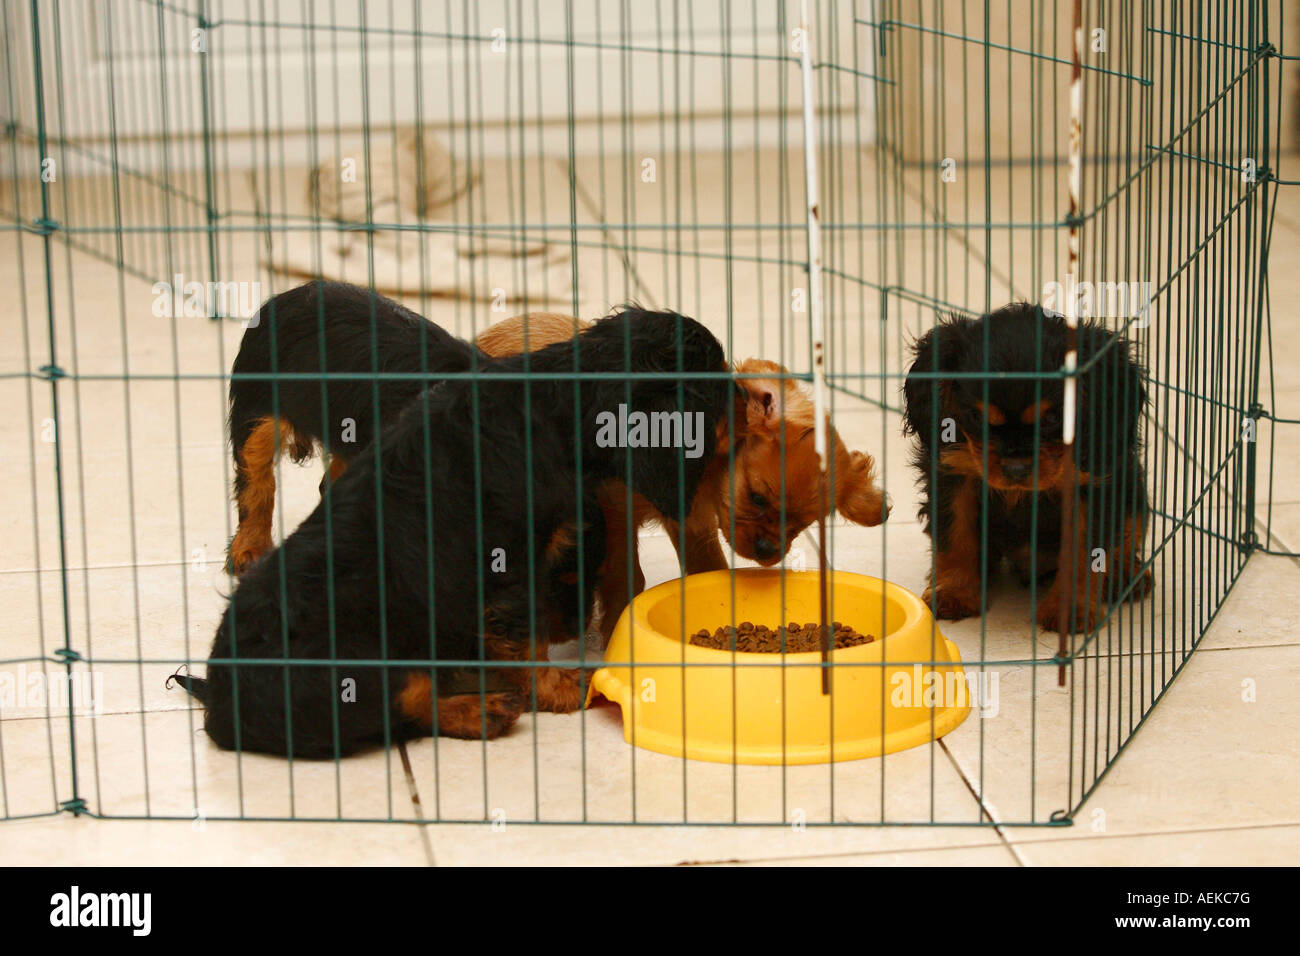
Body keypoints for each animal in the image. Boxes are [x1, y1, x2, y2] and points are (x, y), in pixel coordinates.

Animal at [176, 310, 738, 759]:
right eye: (717, 386)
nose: (750, 397)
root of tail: (219, 705)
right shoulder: (511, 563)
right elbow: (524, 636)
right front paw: (558, 688)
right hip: (364, 659)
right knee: (405, 705)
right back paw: (481, 710)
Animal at [478, 317, 894, 639]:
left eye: (803, 525)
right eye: (757, 497)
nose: (767, 552)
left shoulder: (693, 522)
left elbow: (708, 568)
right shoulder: (616, 506)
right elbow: (625, 577)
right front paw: (615, 630)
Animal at [904, 304, 1149, 634]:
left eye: (1053, 419)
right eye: (976, 416)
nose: (1016, 468)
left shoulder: (1092, 489)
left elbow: (1083, 554)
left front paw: (1069, 610)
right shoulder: (953, 474)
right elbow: (955, 536)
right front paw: (954, 592)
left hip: (1135, 488)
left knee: (1130, 529)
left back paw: (1124, 574)